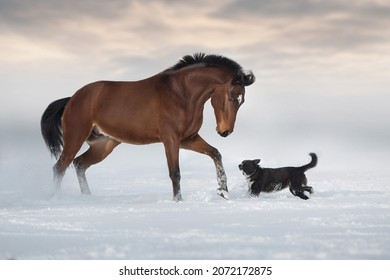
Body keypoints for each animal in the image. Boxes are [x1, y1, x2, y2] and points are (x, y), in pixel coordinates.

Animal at [40, 53, 256, 201]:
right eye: (231, 97)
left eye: (243, 101)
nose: (225, 131)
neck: (181, 94)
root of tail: (72, 99)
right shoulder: (170, 139)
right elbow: (175, 172)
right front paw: (178, 201)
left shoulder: (188, 139)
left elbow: (215, 154)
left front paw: (223, 191)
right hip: (75, 138)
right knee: (60, 167)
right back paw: (56, 198)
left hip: (103, 145)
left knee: (79, 164)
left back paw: (87, 198)